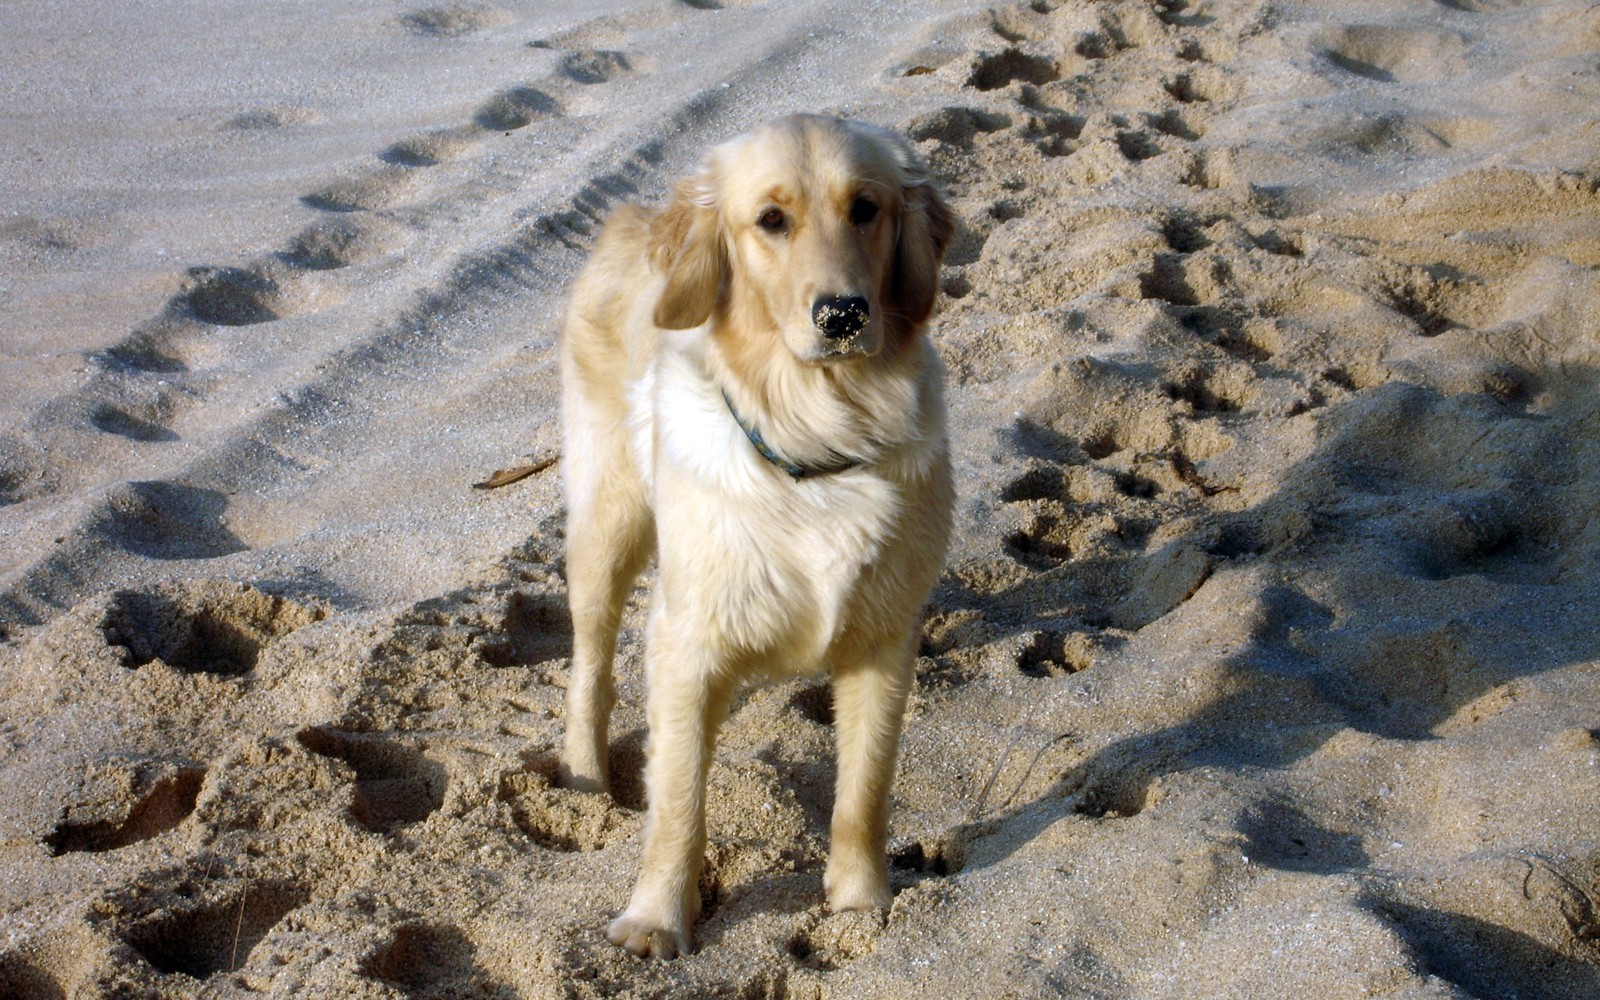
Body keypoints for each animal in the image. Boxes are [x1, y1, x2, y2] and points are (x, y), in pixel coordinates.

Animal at [563, 112, 953, 953]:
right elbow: (677, 800)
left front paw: (861, 903)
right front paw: (656, 917)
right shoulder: (685, 641)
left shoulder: (887, 635)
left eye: (866, 209)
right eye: (771, 220)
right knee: (591, 661)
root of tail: (632, 219)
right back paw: (583, 774)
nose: (842, 314)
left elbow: (865, 787)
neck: (817, 431)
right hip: (608, 520)